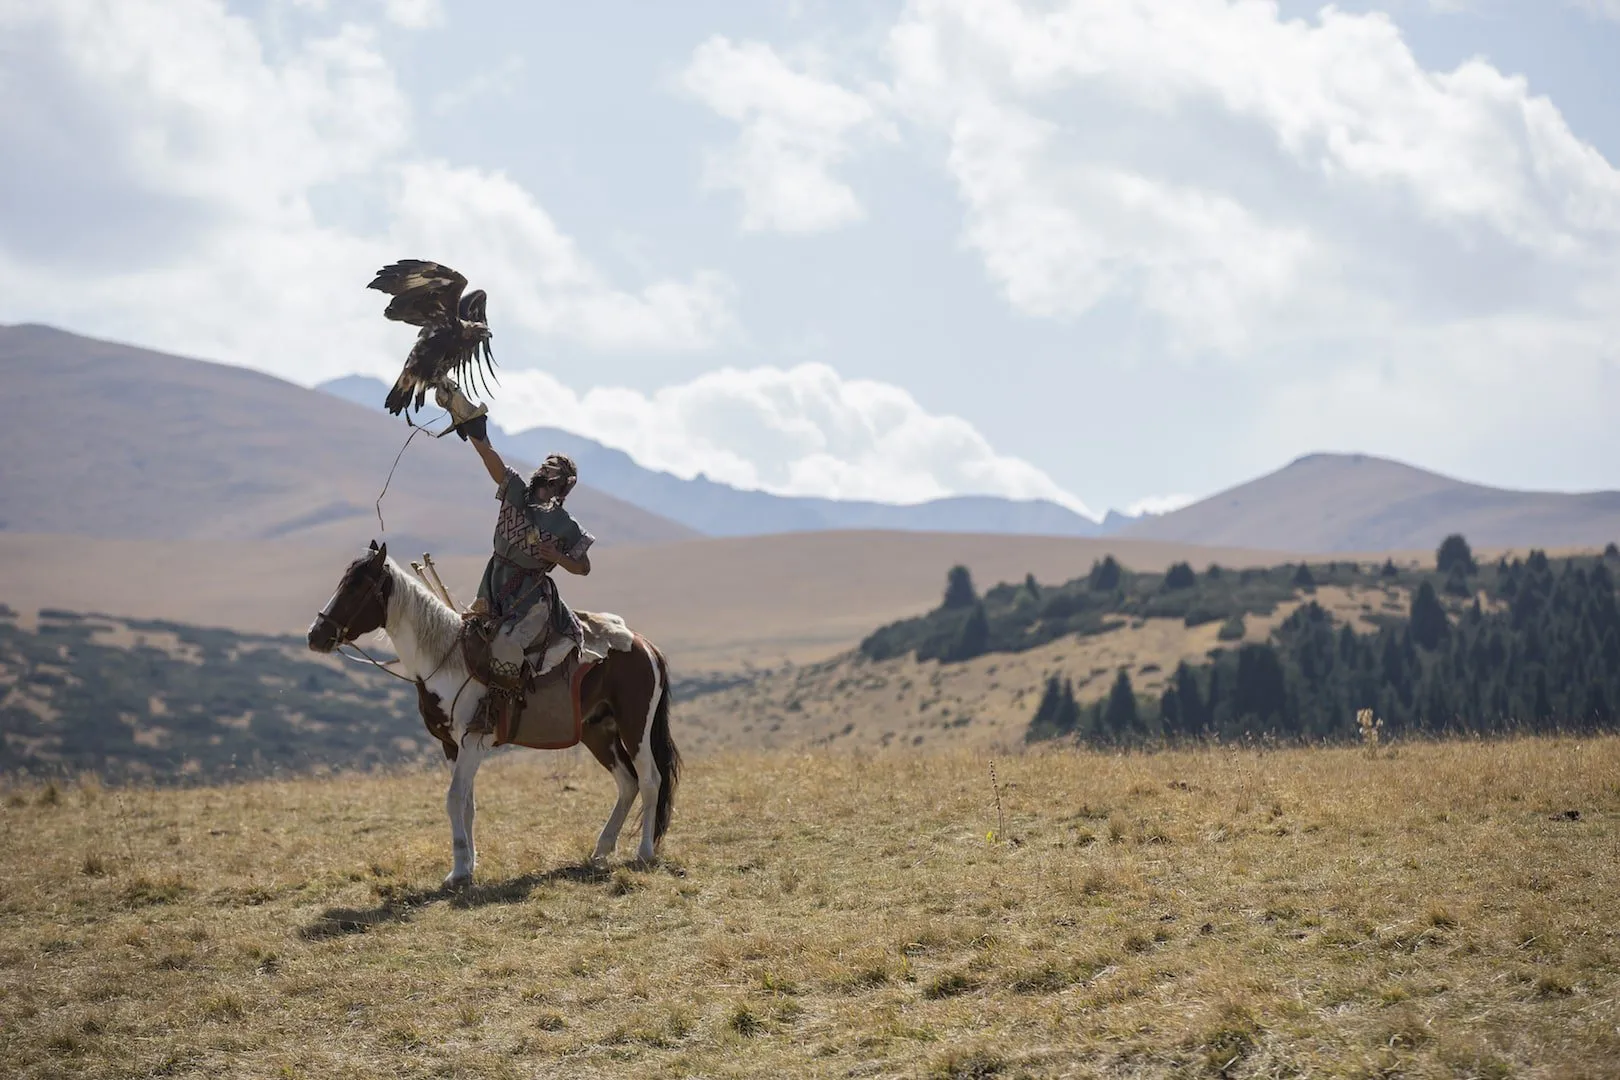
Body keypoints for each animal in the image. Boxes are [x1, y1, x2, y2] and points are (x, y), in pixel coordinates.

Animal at [305, 541, 681, 885]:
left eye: (356, 587)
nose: (315, 635)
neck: (446, 660)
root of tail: (646, 646)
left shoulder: (473, 741)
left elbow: (454, 798)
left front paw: (458, 872)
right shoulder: (451, 746)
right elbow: (467, 803)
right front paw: (468, 866)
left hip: (635, 726)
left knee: (650, 780)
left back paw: (644, 852)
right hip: (598, 732)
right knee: (628, 783)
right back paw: (600, 851)